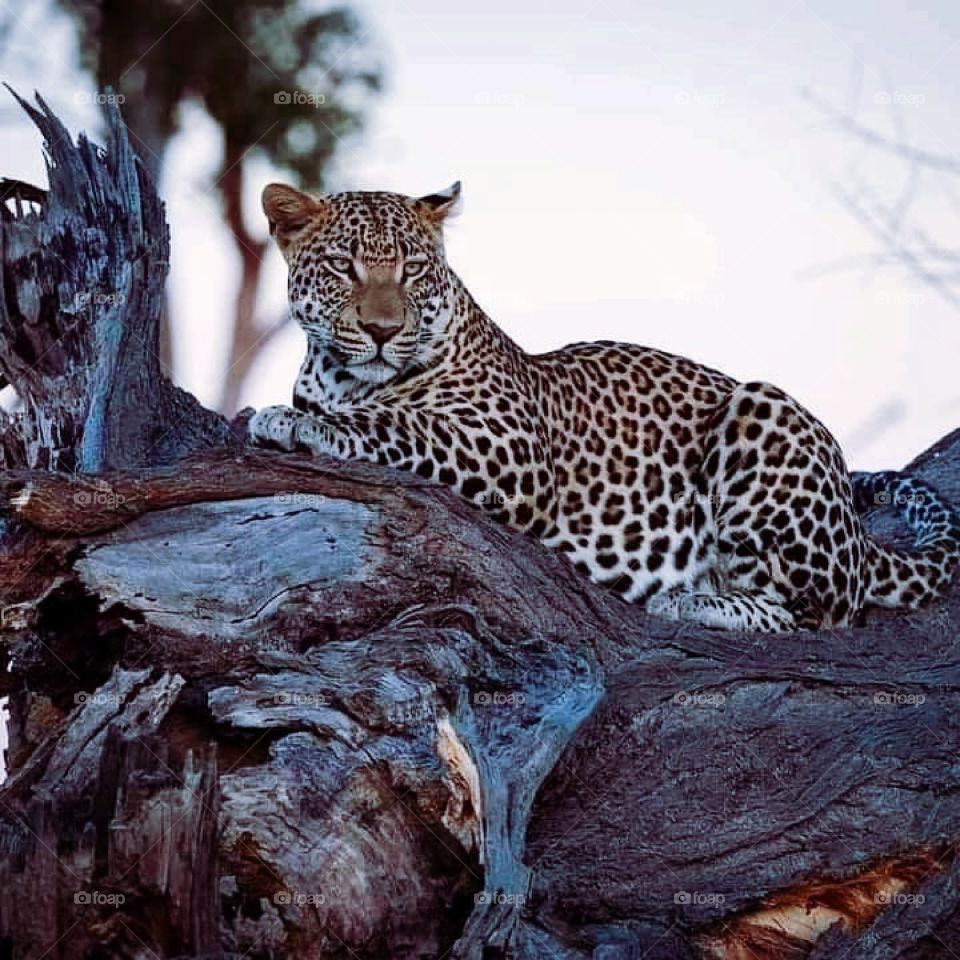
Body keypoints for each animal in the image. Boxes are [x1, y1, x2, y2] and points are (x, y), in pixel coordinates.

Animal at [249, 180, 960, 632]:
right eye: (343, 267)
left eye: (414, 270)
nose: (382, 330)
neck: (341, 375)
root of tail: (858, 536)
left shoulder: (509, 449)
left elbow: (395, 421)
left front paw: (294, 422)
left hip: (766, 408)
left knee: (821, 614)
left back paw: (692, 603)